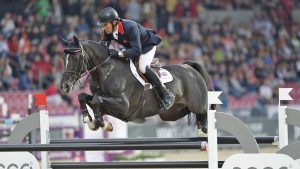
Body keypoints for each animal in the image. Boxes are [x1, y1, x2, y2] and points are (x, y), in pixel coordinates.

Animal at [58, 36, 209, 134]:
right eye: (63, 58)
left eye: (76, 57)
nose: (64, 86)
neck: (106, 71)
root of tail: (188, 67)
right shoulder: (108, 107)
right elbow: (83, 97)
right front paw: (90, 120)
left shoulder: (124, 106)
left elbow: (96, 100)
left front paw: (100, 122)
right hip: (170, 114)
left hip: (198, 105)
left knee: (204, 114)